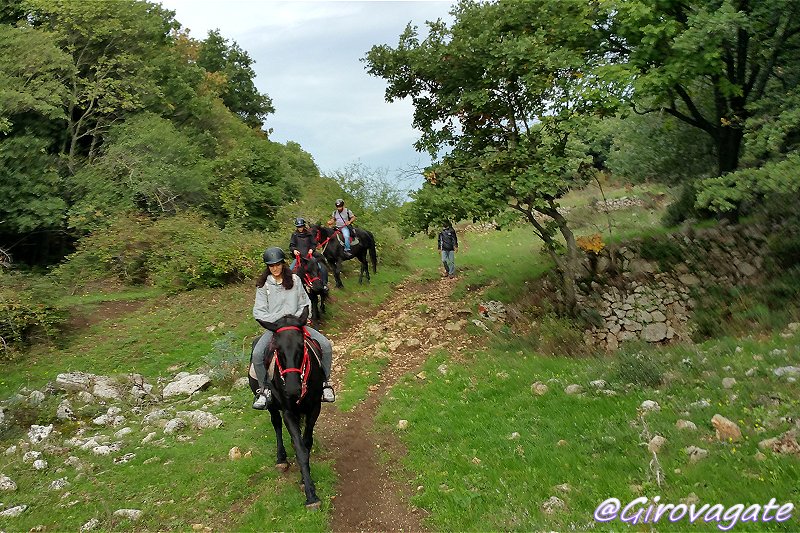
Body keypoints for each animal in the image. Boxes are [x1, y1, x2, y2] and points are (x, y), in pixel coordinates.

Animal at [250, 308, 324, 508]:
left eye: (301, 346)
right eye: (278, 349)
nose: (292, 389)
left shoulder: (315, 408)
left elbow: (306, 443)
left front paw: (304, 480)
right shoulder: (288, 412)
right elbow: (300, 448)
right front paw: (311, 495)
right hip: (272, 407)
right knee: (276, 424)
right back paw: (281, 459)